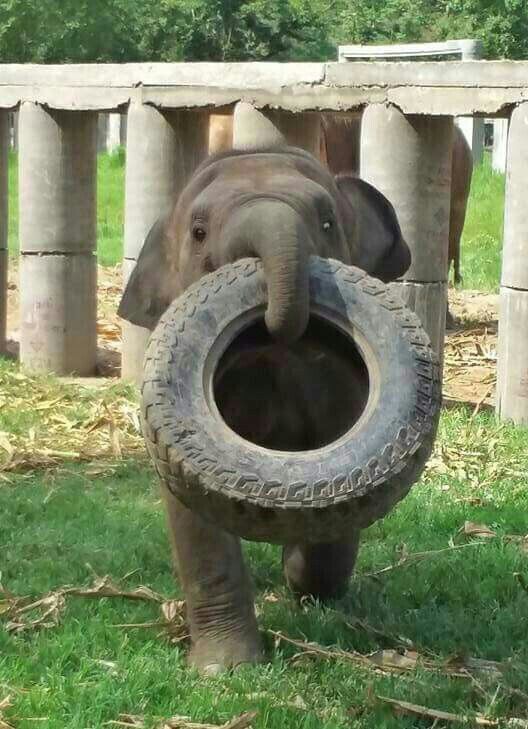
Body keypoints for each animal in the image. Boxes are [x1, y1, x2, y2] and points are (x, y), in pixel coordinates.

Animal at [120, 135, 412, 672]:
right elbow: (191, 505)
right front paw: (225, 668)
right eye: (198, 232)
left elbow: (346, 487)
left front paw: (304, 580)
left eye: (327, 223)